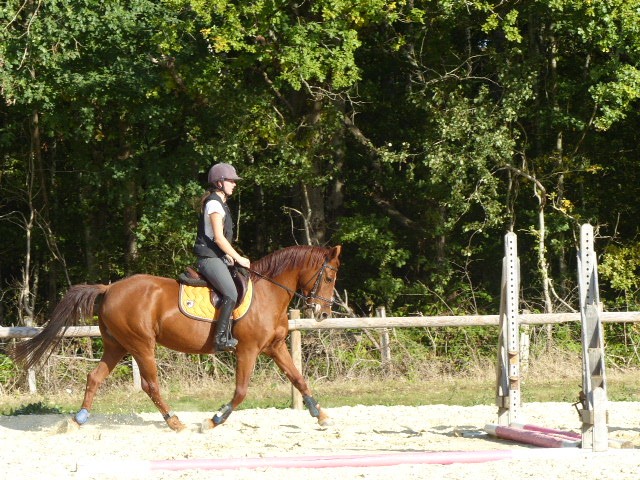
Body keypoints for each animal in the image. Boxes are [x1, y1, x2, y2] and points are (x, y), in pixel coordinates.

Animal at [12, 245, 342, 432]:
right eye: (329, 277)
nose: (323, 313)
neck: (268, 293)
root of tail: (109, 289)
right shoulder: (247, 350)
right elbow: (240, 392)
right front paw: (213, 420)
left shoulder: (274, 347)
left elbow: (298, 378)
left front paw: (321, 415)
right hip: (141, 345)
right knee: (150, 384)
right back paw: (174, 421)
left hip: (116, 345)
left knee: (94, 376)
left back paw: (78, 419)